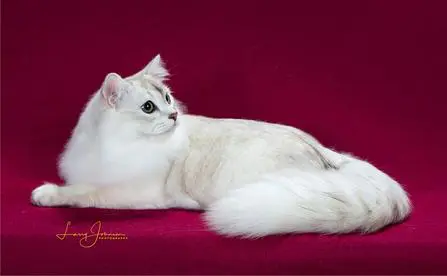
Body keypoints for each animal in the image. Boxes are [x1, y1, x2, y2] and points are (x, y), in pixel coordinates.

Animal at [29, 54, 412, 237]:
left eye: (167, 99)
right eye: (149, 107)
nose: (173, 115)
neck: (110, 145)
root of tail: (322, 151)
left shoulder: (133, 192)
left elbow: (82, 192)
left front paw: (46, 194)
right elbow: (79, 183)